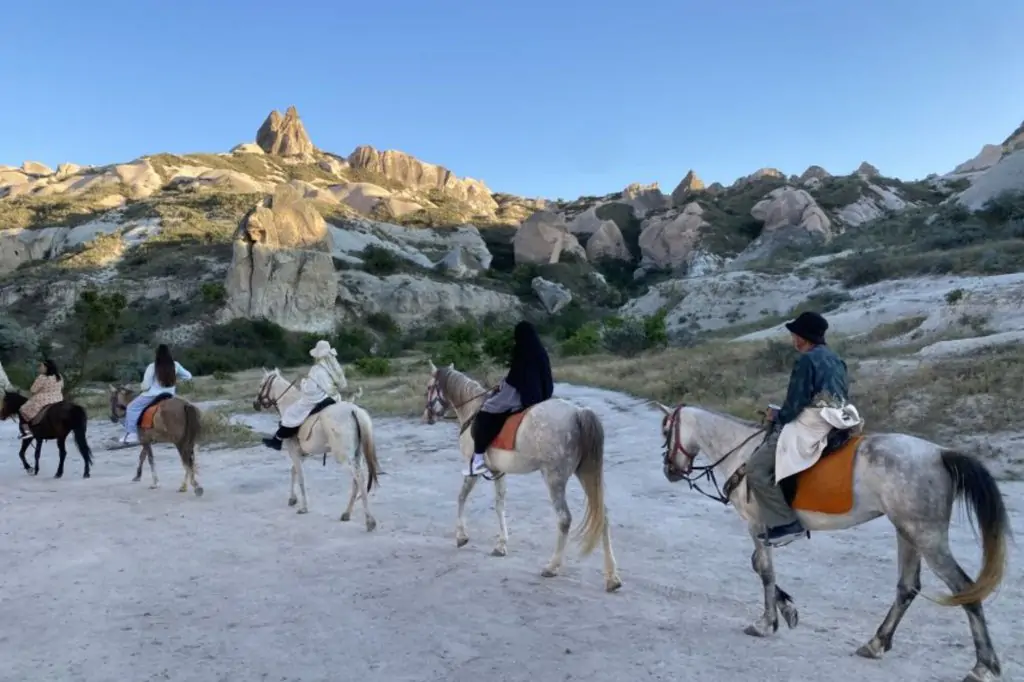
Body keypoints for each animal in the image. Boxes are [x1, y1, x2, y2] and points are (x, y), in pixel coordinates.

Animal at [253, 364, 382, 528]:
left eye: (261, 385)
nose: (255, 404)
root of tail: (354, 410)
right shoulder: (302, 455)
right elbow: (293, 471)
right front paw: (293, 499)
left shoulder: (294, 453)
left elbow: (300, 477)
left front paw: (303, 507)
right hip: (357, 455)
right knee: (357, 480)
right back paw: (347, 513)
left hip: (344, 457)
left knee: (358, 478)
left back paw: (369, 520)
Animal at [419, 360, 618, 589]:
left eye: (429, 387)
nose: (426, 417)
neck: (472, 409)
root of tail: (578, 413)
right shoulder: (498, 472)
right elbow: (499, 505)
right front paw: (501, 545)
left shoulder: (472, 470)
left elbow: (461, 497)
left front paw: (461, 536)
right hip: (585, 474)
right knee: (603, 515)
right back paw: (612, 578)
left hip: (554, 478)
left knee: (564, 519)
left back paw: (552, 567)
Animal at [655, 399, 1007, 679]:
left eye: (664, 431)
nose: (670, 471)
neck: (741, 448)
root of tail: (940, 453)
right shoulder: (761, 531)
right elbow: (759, 566)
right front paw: (788, 610)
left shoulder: (756, 526)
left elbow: (764, 571)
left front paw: (767, 622)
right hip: (908, 532)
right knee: (907, 587)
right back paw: (876, 643)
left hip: (927, 537)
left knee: (965, 589)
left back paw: (984, 666)